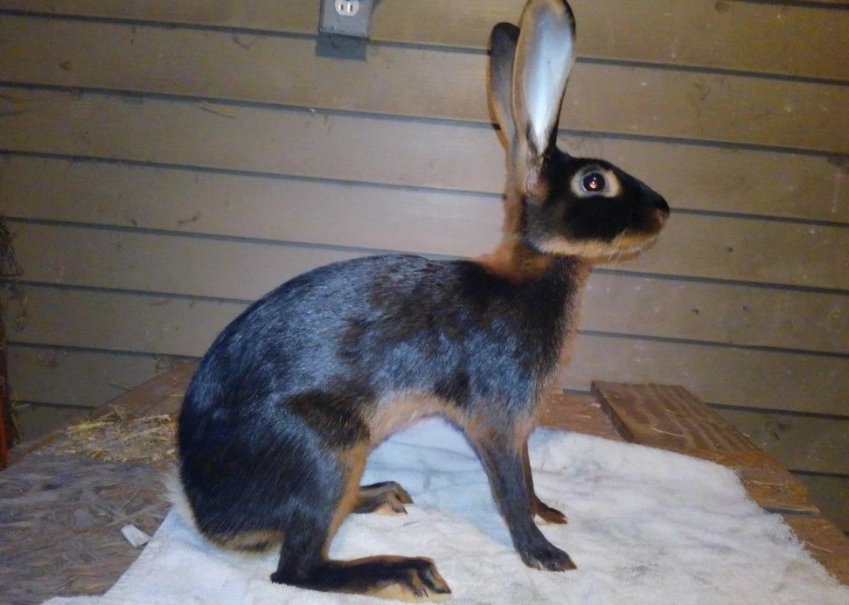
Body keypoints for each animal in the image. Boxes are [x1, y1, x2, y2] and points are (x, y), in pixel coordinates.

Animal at [175, 0, 669, 600]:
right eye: (594, 182)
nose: (663, 210)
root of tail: (209, 517)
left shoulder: (518, 426)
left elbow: (527, 477)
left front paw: (549, 513)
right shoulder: (496, 418)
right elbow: (509, 489)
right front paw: (544, 554)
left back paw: (384, 494)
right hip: (326, 451)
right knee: (296, 569)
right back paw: (406, 570)